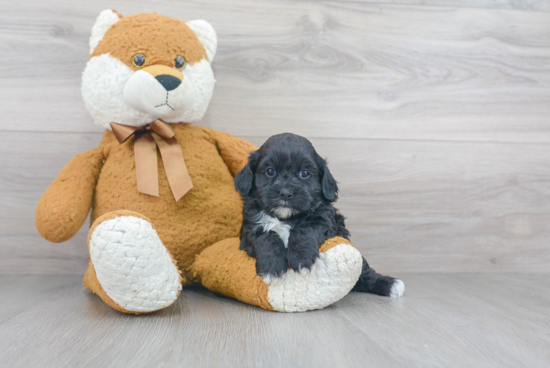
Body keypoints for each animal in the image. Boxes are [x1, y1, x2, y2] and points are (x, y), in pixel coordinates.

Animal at [235, 134, 408, 298]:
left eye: (304, 173)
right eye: (270, 171)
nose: (285, 192)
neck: (286, 218)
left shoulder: (326, 222)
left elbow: (304, 230)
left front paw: (302, 258)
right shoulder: (249, 228)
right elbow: (265, 236)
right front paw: (272, 267)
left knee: (364, 270)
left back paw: (388, 284)